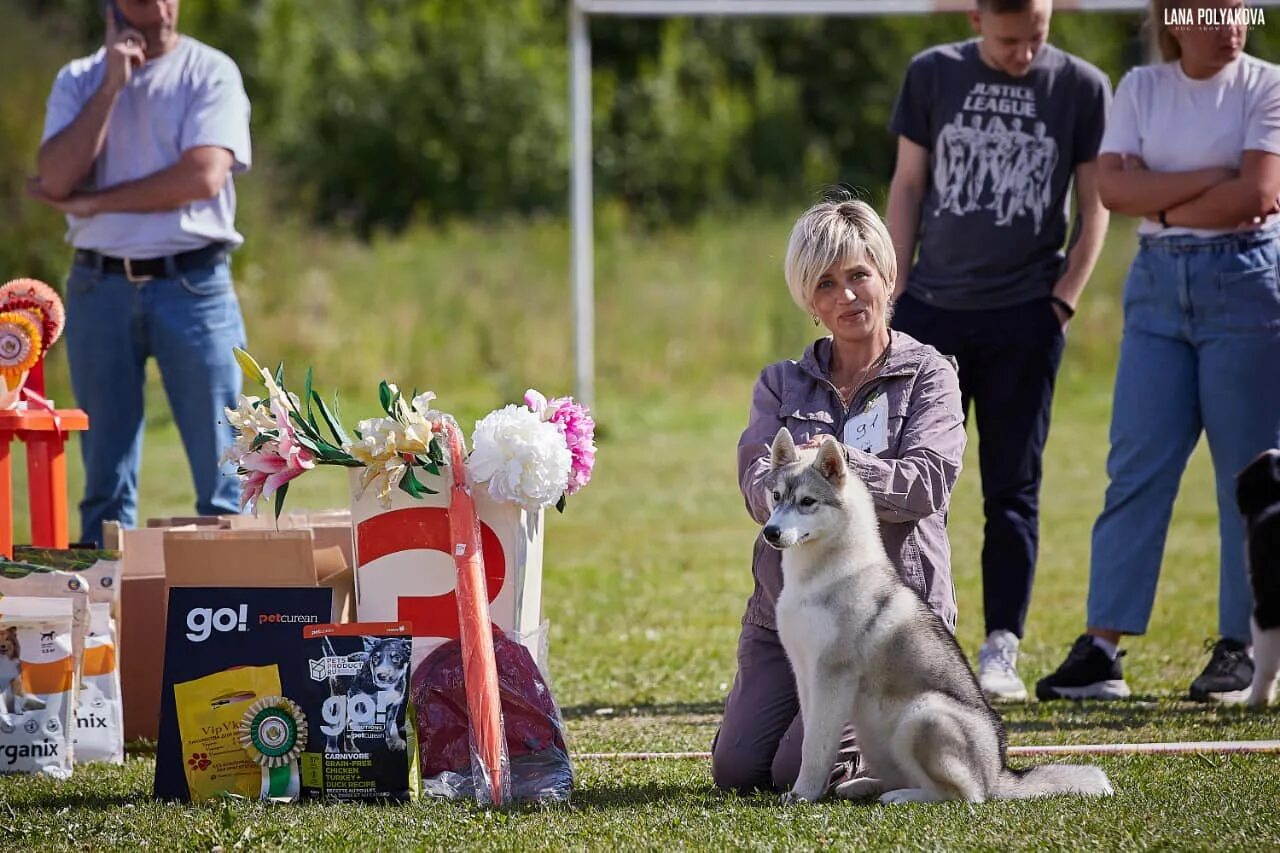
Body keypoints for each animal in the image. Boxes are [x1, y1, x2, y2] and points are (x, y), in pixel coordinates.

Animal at [762, 427, 1116, 799]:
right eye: (776, 495)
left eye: (807, 502)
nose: (771, 532)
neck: (819, 577)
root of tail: (998, 773)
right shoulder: (805, 672)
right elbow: (809, 739)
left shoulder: (832, 674)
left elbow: (814, 747)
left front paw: (802, 794)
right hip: (876, 736)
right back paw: (864, 785)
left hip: (924, 714)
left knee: (963, 796)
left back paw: (902, 796)